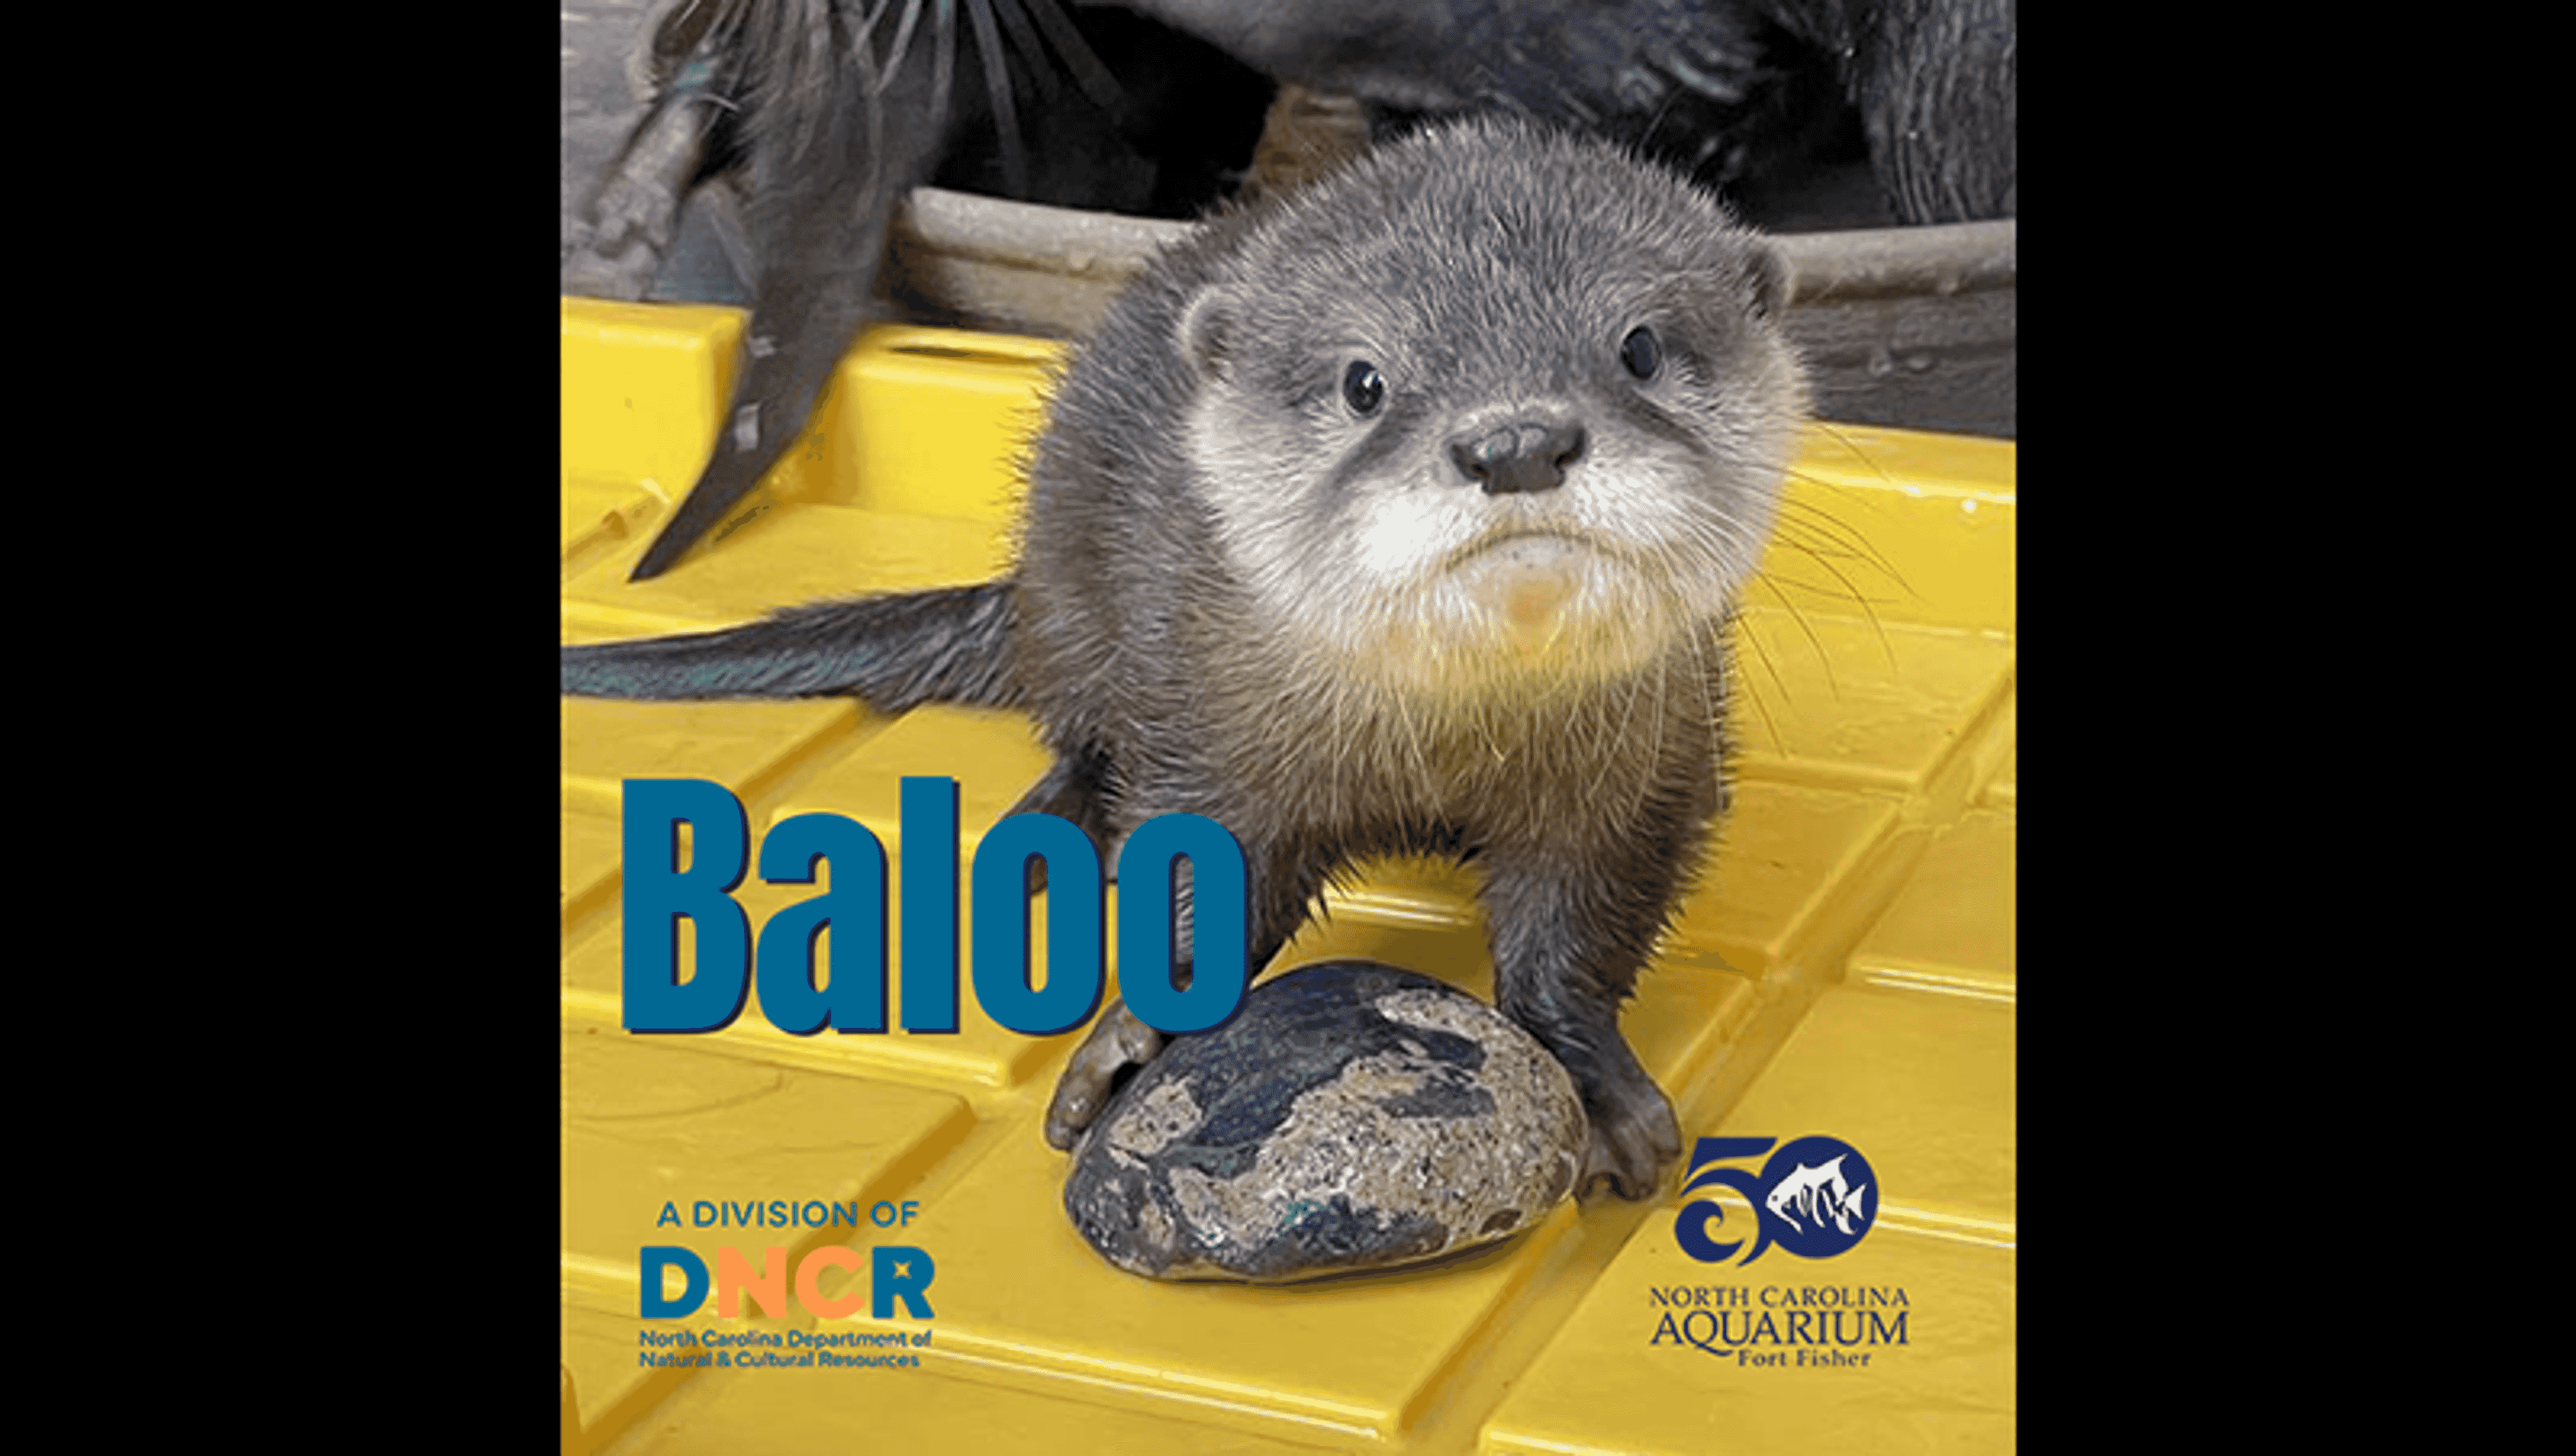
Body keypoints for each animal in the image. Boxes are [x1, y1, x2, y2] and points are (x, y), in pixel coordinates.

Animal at [561, 117, 1808, 1199]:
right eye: (1365, 381)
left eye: (1639, 348)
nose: (1514, 441)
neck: (1440, 738)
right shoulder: (1206, 731)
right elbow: (1195, 875)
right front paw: (1133, 1040)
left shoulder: (1636, 777)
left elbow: (1583, 928)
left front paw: (1593, 1082)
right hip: (1075, 583)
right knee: (1078, 723)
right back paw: (1049, 826)